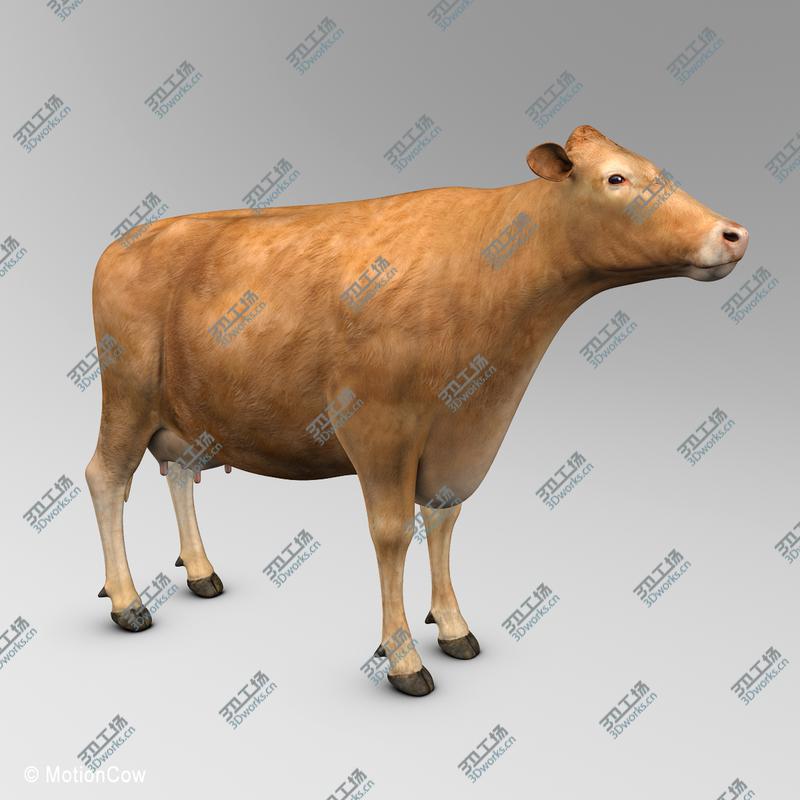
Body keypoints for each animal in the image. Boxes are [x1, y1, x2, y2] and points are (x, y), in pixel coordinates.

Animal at [86, 125, 748, 696]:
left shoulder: (461, 433)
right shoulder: (378, 424)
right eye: (616, 178)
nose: (734, 232)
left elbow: (444, 520)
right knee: (106, 477)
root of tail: (126, 239)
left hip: (186, 412)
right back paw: (128, 602)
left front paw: (453, 627)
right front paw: (401, 656)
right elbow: (392, 533)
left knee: (177, 471)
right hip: (127, 390)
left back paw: (200, 572)